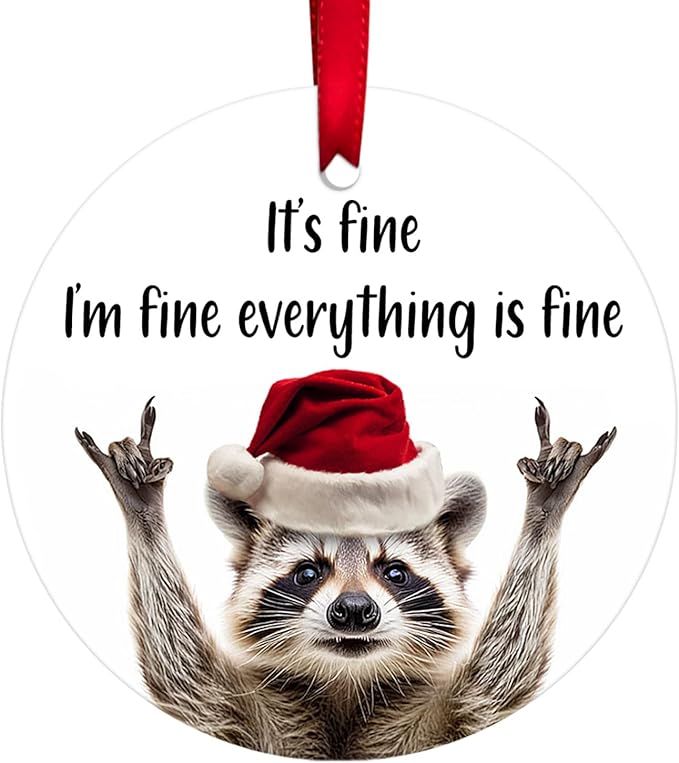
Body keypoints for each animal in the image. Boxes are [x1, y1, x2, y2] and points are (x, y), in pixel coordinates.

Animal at [76, 398, 615, 759]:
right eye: (307, 572)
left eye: (394, 571)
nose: (354, 610)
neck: (345, 685)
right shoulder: (237, 715)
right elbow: (183, 674)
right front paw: (144, 512)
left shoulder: (454, 718)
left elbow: (501, 677)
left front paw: (544, 511)